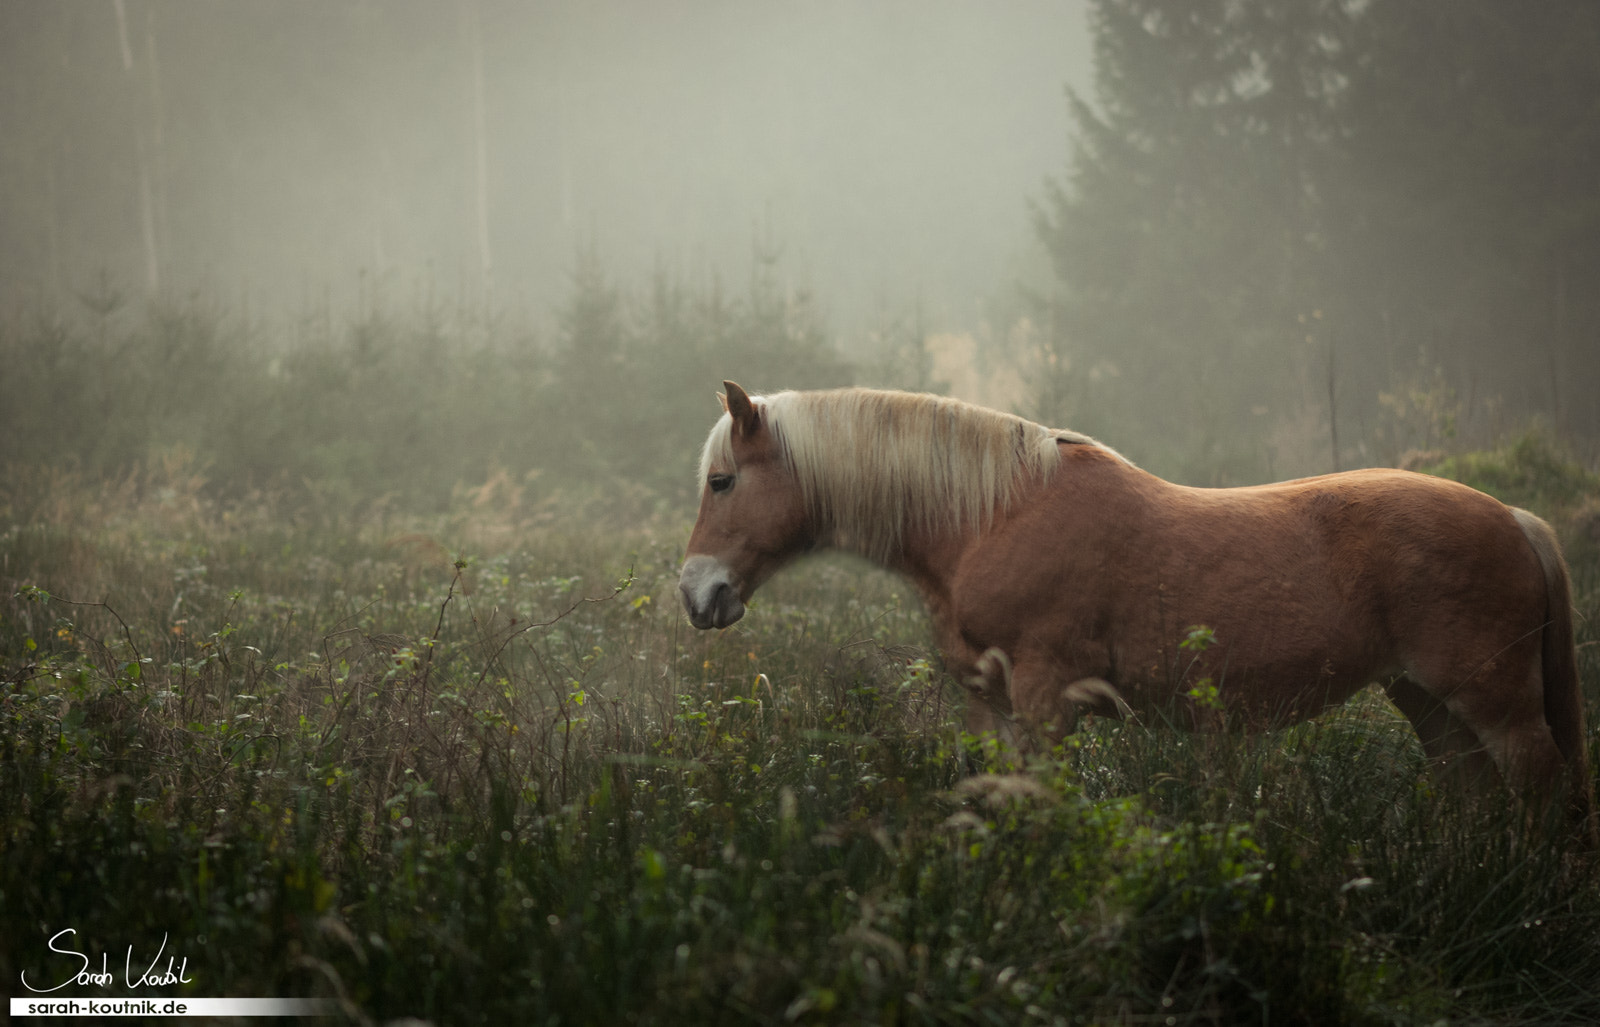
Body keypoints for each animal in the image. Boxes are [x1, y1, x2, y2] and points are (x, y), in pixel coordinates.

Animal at [678, 380, 1600, 838]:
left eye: (722, 481)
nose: (697, 593)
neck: (993, 514)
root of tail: (1516, 519)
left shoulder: (1047, 695)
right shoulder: (989, 701)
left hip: (1493, 701)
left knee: (1537, 782)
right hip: (1428, 700)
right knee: (1472, 791)